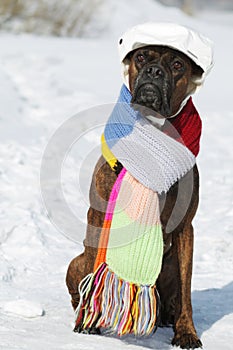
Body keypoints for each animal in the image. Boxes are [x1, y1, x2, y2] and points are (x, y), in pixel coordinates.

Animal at [65, 23, 213, 348]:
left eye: (177, 64)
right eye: (142, 57)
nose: (154, 71)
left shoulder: (185, 227)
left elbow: (186, 290)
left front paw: (187, 332)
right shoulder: (99, 214)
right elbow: (95, 270)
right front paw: (88, 323)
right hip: (75, 262)